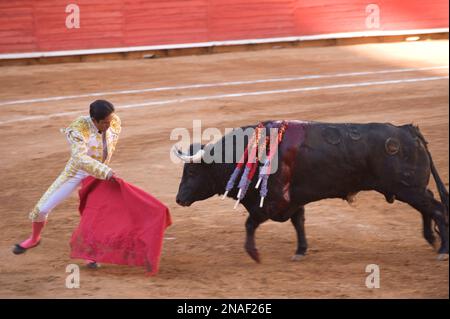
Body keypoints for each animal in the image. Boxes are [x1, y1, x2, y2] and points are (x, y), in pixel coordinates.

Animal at [172, 121, 446, 264]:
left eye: (192, 172)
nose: (179, 199)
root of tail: (409, 130)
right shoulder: (293, 201)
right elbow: (299, 222)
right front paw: (301, 250)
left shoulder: (269, 203)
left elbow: (250, 223)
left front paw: (254, 254)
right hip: (410, 189)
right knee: (429, 206)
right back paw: (432, 239)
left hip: (408, 188)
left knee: (437, 209)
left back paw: (443, 250)